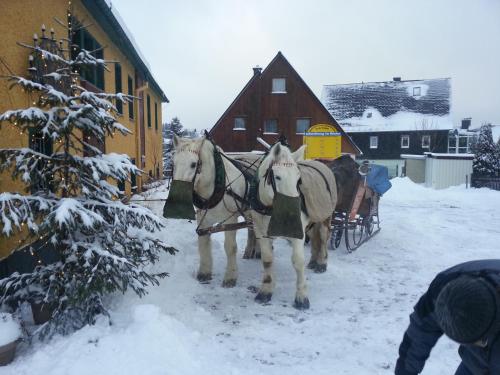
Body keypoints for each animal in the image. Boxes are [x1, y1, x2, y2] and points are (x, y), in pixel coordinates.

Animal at [171, 135, 258, 288]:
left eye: (193, 164)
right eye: (174, 163)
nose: (177, 194)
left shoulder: (231, 220)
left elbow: (230, 247)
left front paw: (230, 277)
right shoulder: (203, 219)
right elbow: (203, 243)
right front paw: (204, 273)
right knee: (251, 229)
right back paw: (249, 251)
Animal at [250, 142, 336, 310]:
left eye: (298, 178)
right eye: (277, 176)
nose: (293, 212)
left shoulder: (297, 232)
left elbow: (297, 261)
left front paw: (301, 296)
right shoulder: (261, 231)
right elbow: (267, 259)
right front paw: (265, 291)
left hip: (325, 215)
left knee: (323, 237)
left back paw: (322, 262)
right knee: (314, 236)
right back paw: (313, 260)